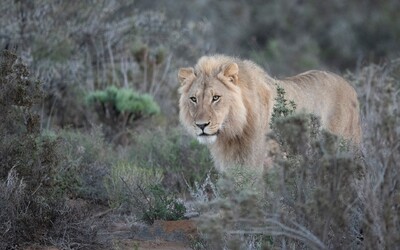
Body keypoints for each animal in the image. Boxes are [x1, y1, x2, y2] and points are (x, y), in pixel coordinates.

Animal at [178, 54, 362, 174]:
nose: (201, 125)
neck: (233, 133)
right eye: (193, 99)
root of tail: (350, 86)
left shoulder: (259, 166)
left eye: (216, 97)